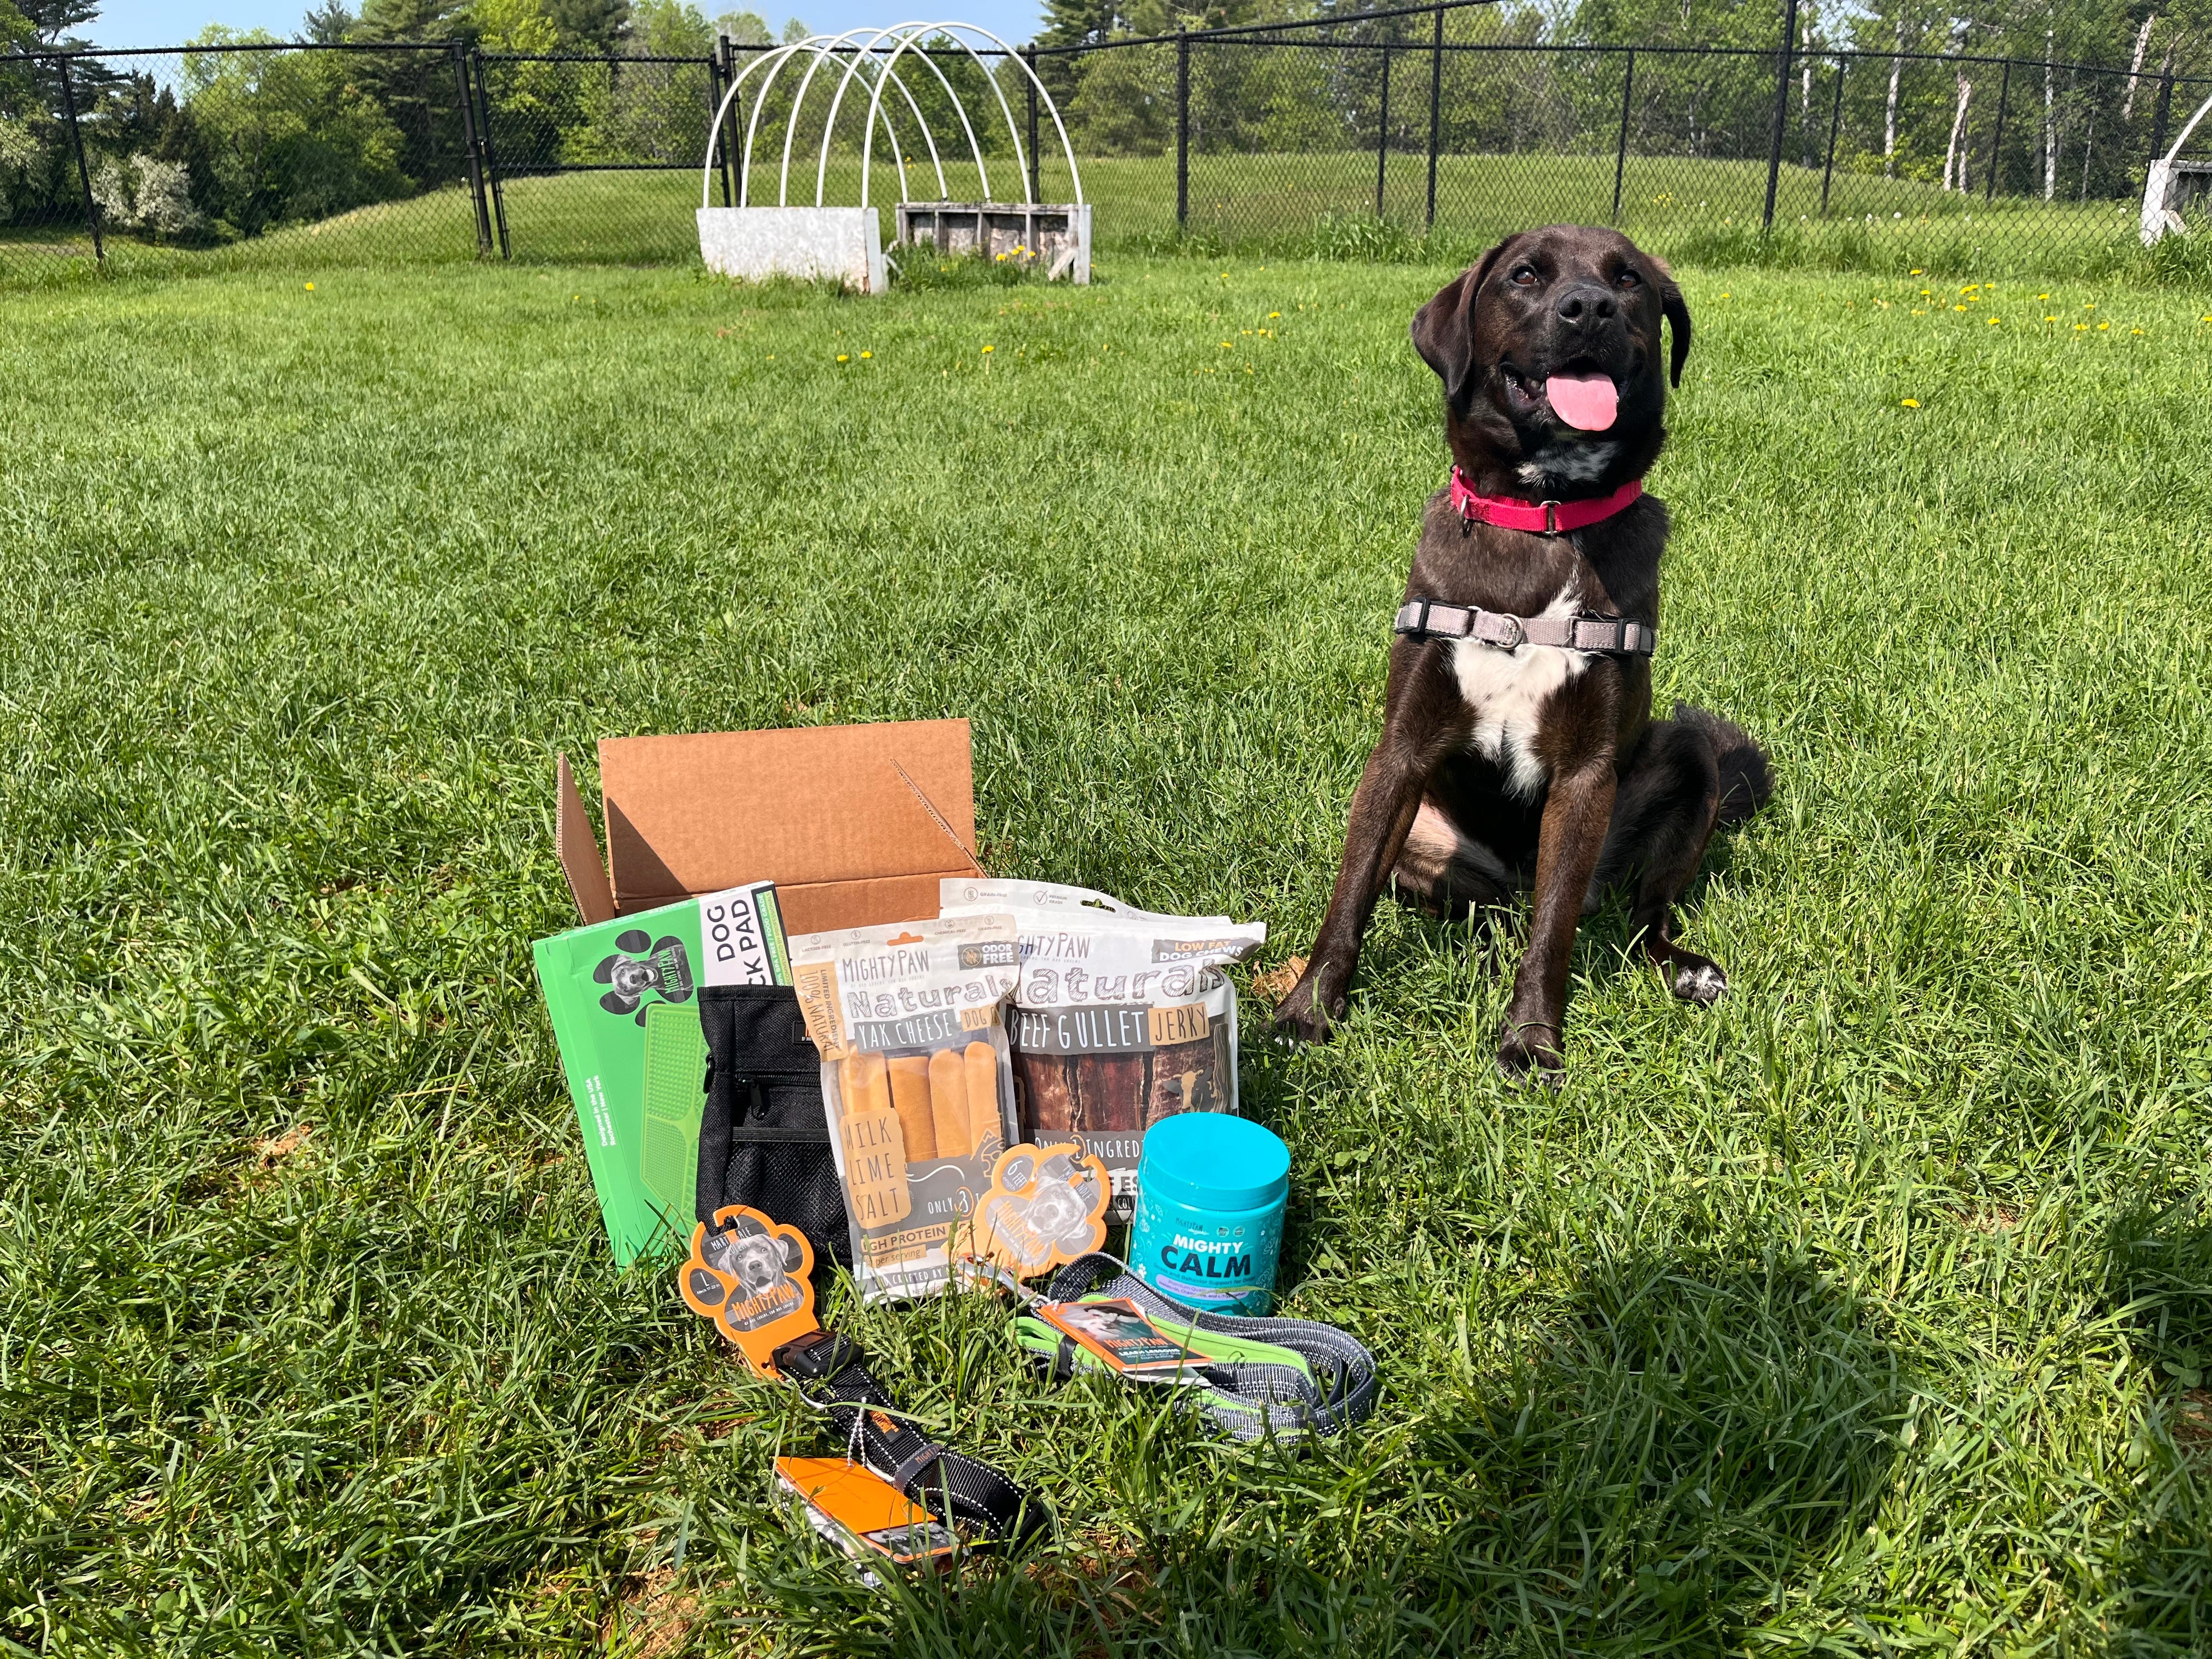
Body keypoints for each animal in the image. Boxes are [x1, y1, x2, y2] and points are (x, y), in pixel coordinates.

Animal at [1274, 228, 1769, 1084]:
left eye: (1629, 281)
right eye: (1526, 275)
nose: (1590, 307)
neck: (1542, 517)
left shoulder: (1585, 775)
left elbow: (1555, 933)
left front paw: (1532, 1043)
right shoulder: (1400, 752)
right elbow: (1347, 900)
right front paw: (1308, 1013)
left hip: (1687, 757)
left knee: (1631, 914)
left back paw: (1683, 967)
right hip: (1429, 844)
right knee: (1489, 911)